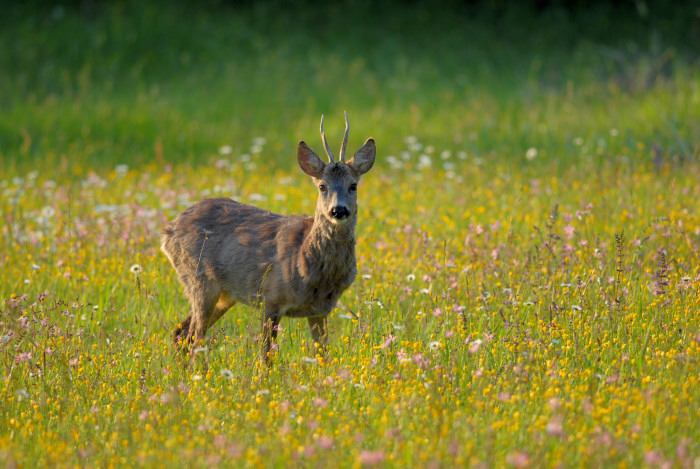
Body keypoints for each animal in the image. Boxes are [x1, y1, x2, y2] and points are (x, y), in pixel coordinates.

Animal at [161, 112, 374, 358]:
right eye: (322, 186)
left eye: (353, 185)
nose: (338, 210)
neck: (305, 261)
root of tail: (168, 232)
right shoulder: (270, 298)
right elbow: (266, 356)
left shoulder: (320, 310)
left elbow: (324, 354)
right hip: (199, 281)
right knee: (195, 338)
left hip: (225, 294)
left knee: (180, 333)